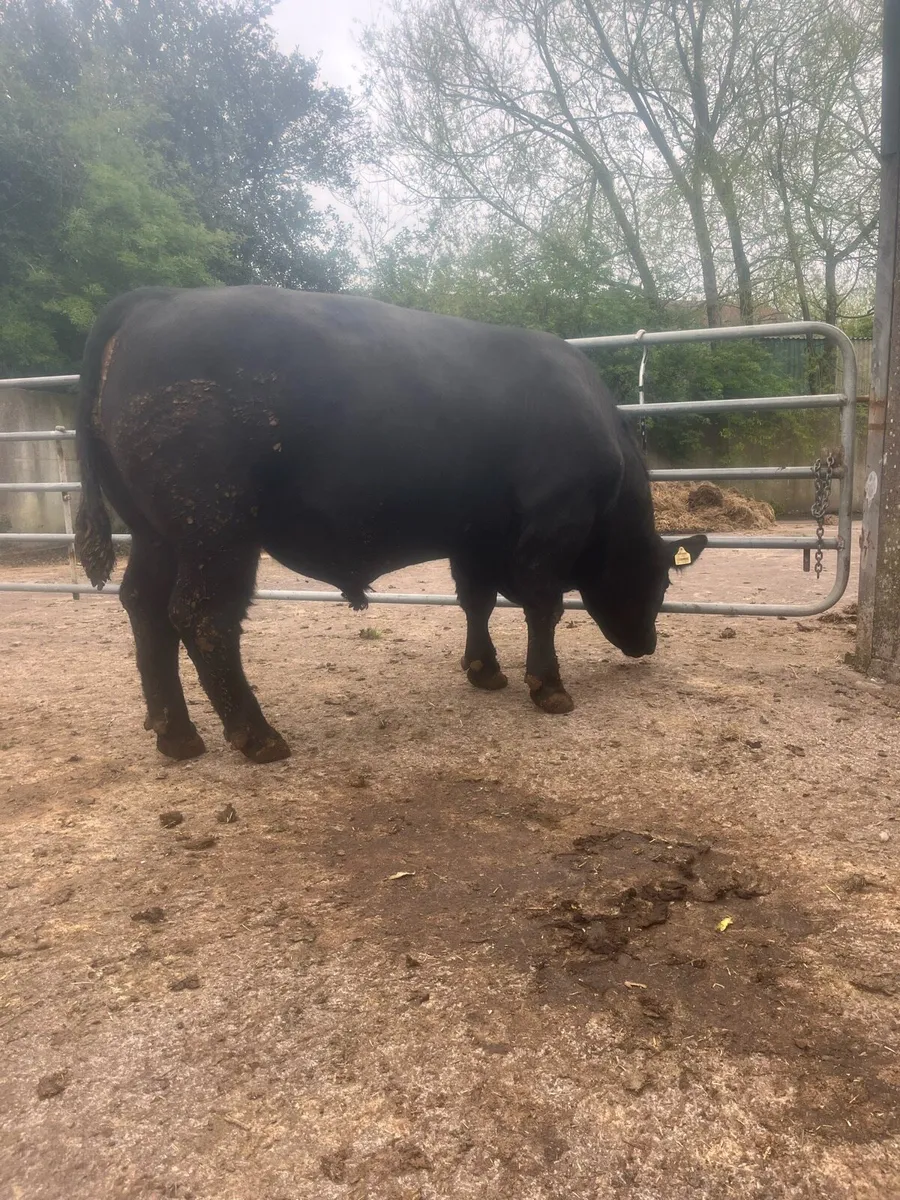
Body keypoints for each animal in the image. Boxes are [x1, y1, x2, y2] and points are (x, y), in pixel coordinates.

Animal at [74, 286, 706, 763]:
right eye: (661, 582)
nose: (647, 645)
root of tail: (156, 301)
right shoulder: (553, 526)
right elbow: (543, 606)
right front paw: (548, 687)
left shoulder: (474, 536)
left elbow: (475, 599)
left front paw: (484, 670)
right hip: (216, 530)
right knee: (202, 618)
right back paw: (258, 737)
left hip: (156, 533)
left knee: (145, 607)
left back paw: (177, 735)